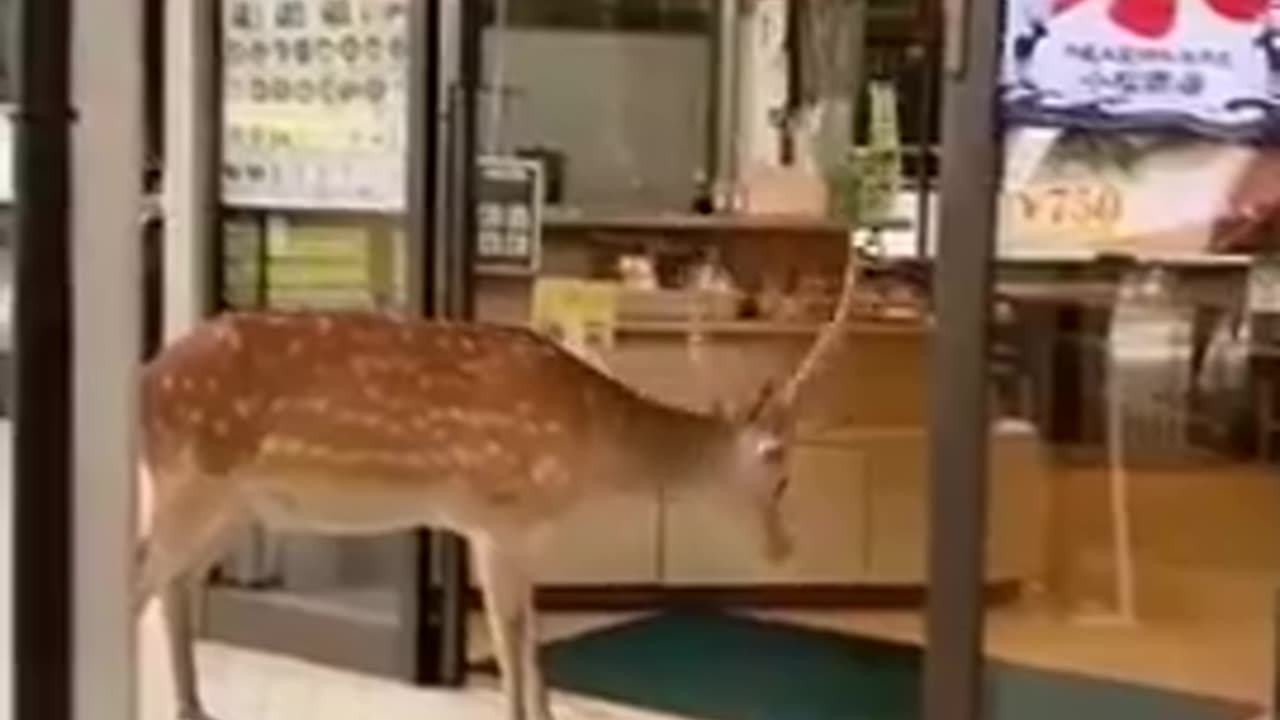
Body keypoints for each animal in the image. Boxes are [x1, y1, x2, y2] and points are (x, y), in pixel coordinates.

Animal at [135, 240, 865, 717]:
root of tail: (146, 379)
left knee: (175, 582)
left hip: (234, 504)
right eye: (781, 473)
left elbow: (533, 646)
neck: (589, 445)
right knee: (140, 574)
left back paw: (195, 707)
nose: (784, 548)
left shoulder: (524, 532)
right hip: (188, 479)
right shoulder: (495, 515)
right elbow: (513, 643)